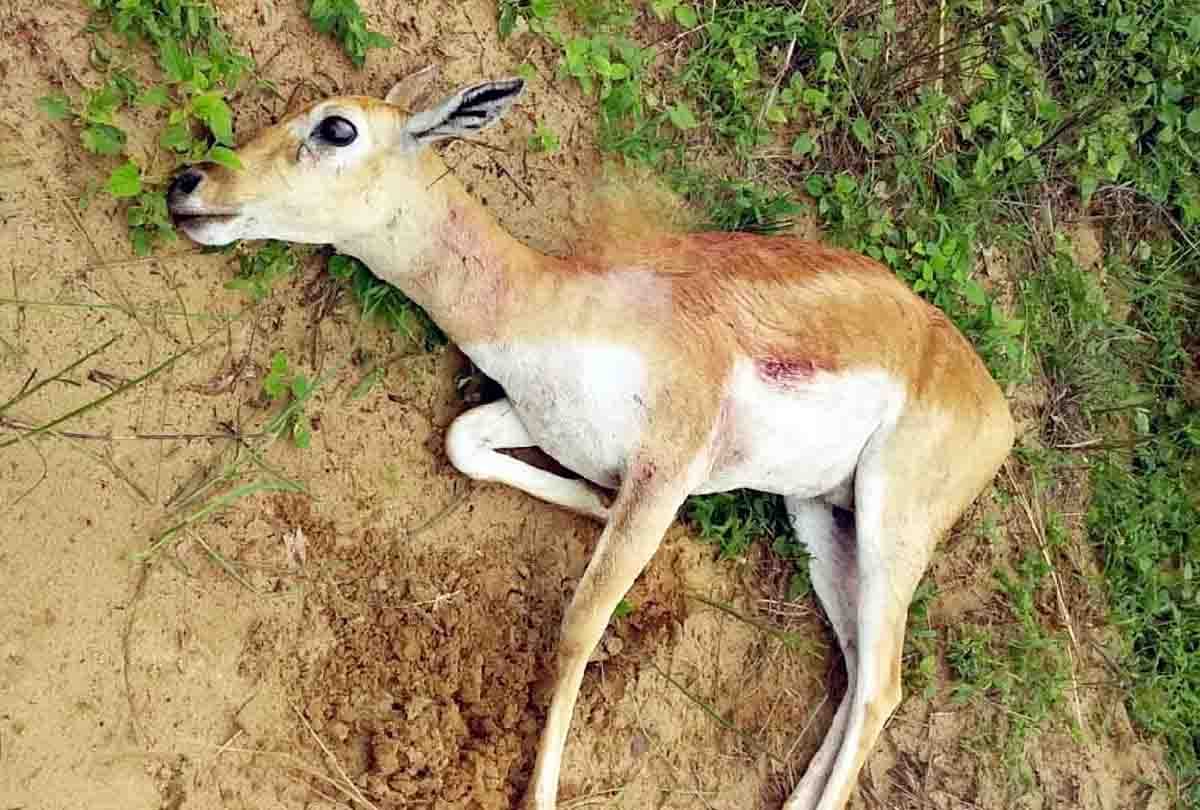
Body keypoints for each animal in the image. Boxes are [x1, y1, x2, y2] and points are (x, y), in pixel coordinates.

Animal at [166, 67, 1015, 810]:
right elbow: (463, 441)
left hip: (891, 516)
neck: (559, 303)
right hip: (816, 516)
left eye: (335, 127)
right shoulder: (544, 421)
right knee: (859, 668)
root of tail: (998, 409)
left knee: (883, 684)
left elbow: (579, 627)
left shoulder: (670, 466)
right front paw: (597, 501)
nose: (188, 183)